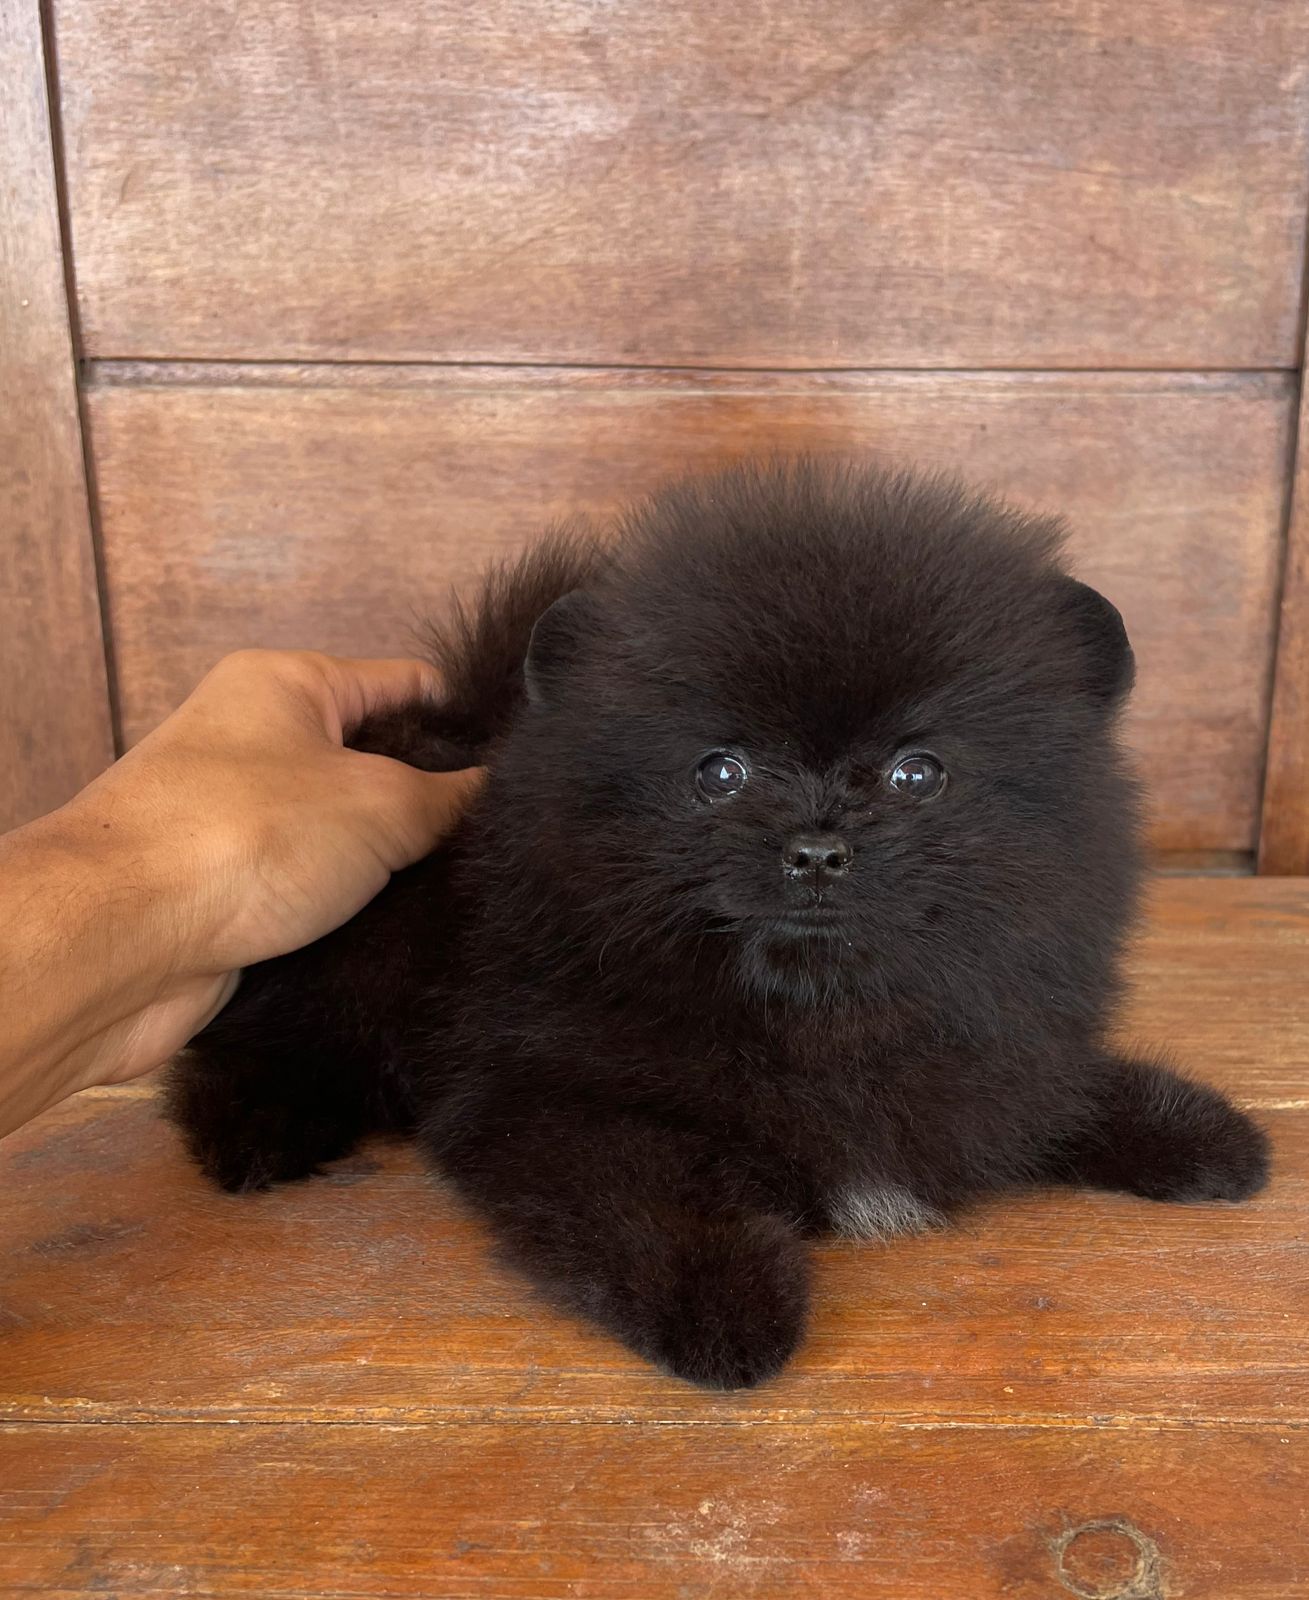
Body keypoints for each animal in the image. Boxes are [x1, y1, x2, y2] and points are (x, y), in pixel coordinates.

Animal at [171, 460, 1267, 1388]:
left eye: (917, 775)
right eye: (721, 772)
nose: (816, 845)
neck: (815, 1017)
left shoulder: (995, 1053)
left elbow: (1063, 1092)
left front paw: (1196, 1131)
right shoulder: (541, 1096)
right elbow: (650, 1197)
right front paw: (725, 1301)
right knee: (255, 1040)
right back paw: (261, 1127)